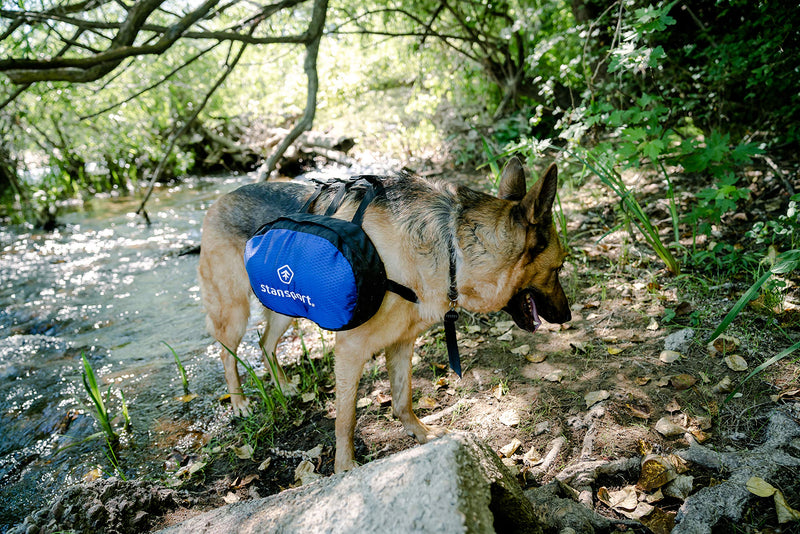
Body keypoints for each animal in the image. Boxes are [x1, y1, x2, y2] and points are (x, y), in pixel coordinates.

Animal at [203, 158, 572, 474]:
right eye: (558, 268)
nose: (568, 316)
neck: (453, 250)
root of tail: (221, 198)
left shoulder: (402, 341)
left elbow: (402, 398)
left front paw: (420, 433)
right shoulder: (350, 350)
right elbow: (346, 419)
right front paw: (345, 467)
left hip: (287, 307)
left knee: (265, 343)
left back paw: (281, 384)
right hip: (234, 310)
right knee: (227, 353)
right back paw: (239, 402)